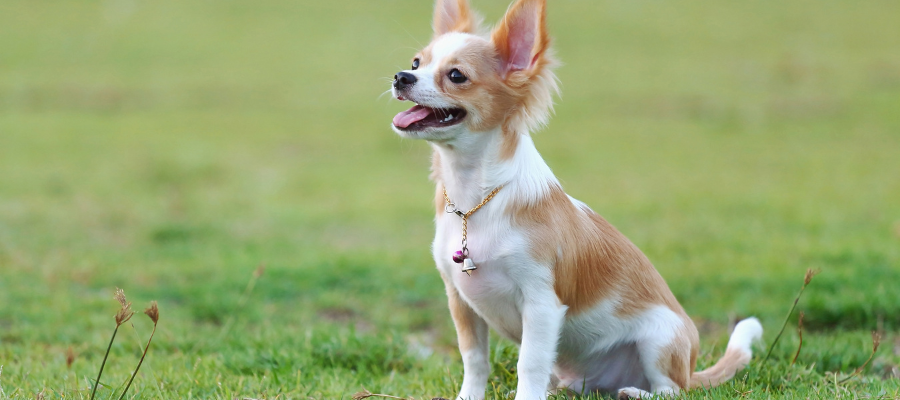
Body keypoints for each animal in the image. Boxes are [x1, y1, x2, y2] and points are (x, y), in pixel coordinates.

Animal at [386, 0, 760, 400]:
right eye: (416, 63)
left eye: (456, 75)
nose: (401, 77)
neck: (475, 199)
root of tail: (692, 369)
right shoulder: (460, 299)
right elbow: (474, 359)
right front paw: (468, 397)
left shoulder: (542, 305)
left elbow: (529, 364)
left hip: (661, 340)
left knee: (672, 390)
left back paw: (635, 392)